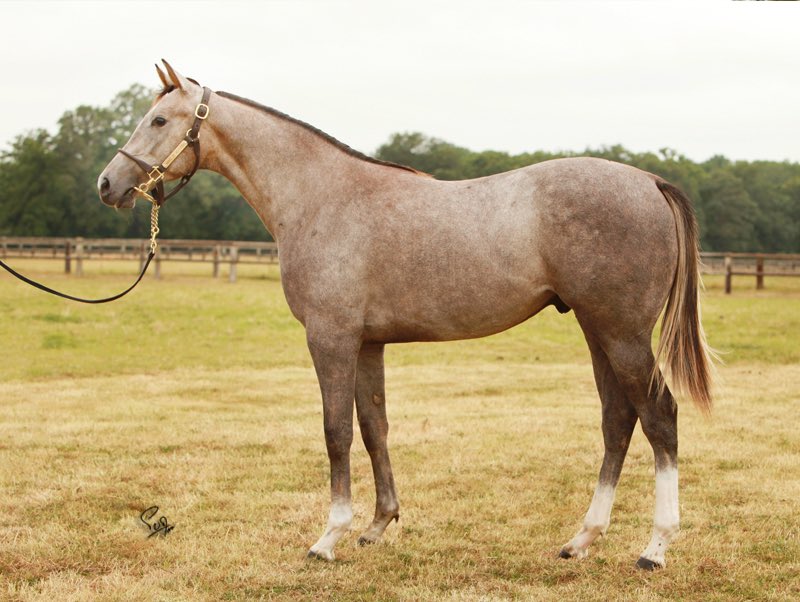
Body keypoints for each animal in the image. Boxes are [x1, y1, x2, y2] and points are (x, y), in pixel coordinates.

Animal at [98, 61, 716, 570]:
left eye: (158, 120)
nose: (108, 184)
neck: (321, 198)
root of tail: (650, 182)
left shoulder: (331, 339)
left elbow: (337, 432)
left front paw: (328, 537)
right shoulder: (368, 344)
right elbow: (375, 428)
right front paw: (377, 526)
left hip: (623, 333)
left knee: (659, 417)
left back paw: (655, 547)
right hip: (597, 330)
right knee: (618, 420)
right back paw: (582, 539)